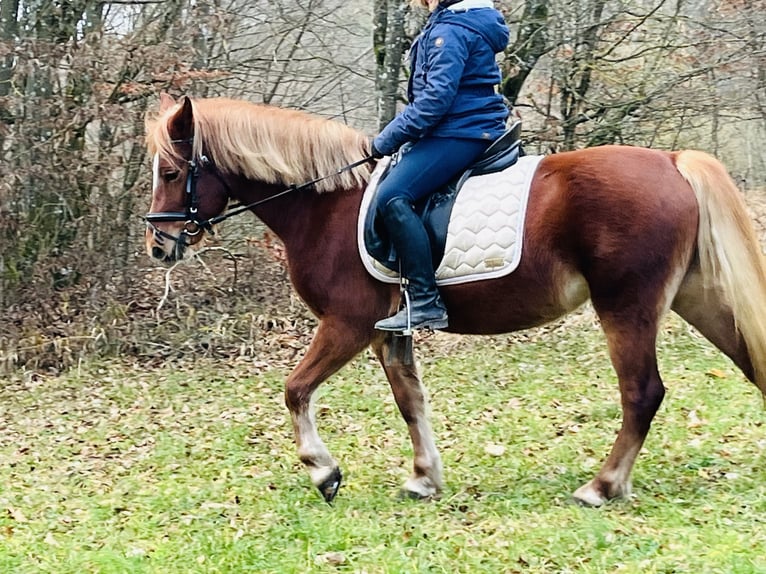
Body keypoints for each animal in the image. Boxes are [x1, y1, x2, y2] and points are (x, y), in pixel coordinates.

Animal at [144, 95, 766, 508]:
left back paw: (602, 486)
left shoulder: (347, 325)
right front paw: (424, 477)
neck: (326, 206)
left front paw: (325, 473)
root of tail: (671, 161)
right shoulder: (387, 332)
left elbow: (295, 390)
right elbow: (410, 402)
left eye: (172, 172)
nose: (158, 244)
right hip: (697, 297)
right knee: (750, 361)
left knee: (642, 393)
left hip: (626, 307)